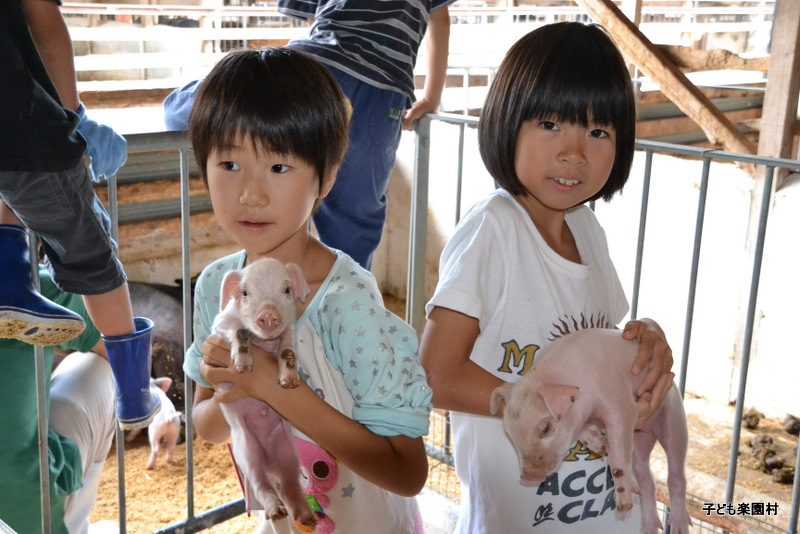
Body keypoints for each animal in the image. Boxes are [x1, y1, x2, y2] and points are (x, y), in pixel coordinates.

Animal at [214, 258, 318, 528]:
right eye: (245, 293)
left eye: (287, 290)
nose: (269, 313)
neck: (264, 341)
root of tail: (268, 461)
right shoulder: (220, 323)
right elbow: (237, 329)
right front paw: (242, 368)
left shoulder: (290, 329)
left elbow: (288, 349)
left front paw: (289, 383)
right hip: (246, 449)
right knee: (260, 483)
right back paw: (277, 512)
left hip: (287, 450)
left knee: (290, 486)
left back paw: (307, 518)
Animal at [490, 328, 692, 532]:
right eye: (510, 434)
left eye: (545, 429)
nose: (528, 476)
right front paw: (600, 446)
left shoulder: (619, 401)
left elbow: (618, 451)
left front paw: (623, 506)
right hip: (639, 441)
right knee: (647, 479)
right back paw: (648, 527)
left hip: (674, 416)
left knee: (676, 475)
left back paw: (680, 527)